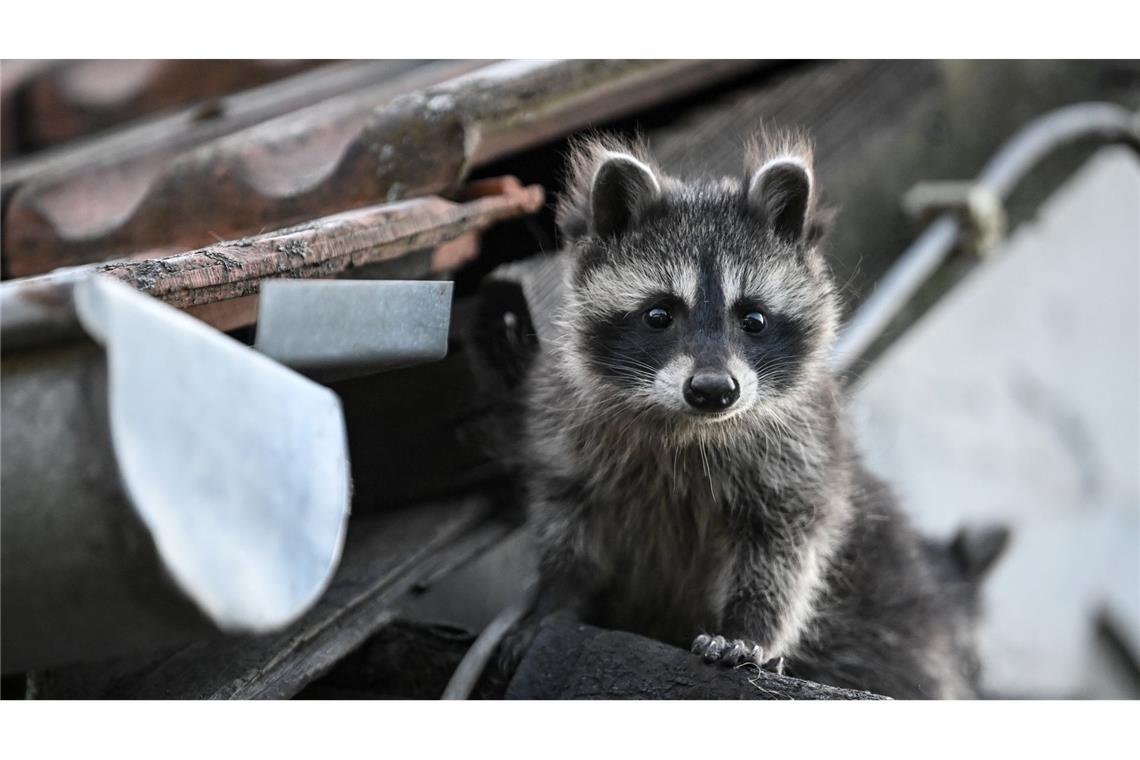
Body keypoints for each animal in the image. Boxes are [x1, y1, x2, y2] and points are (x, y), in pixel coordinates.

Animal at [522, 132, 1003, 701]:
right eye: (659, 315)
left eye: (753, 319)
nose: (713, 391)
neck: (691, 429)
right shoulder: (567, 430)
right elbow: (568, 524)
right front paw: (556, 597)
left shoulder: (805, 450)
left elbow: (783, 548)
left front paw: (748, 629)